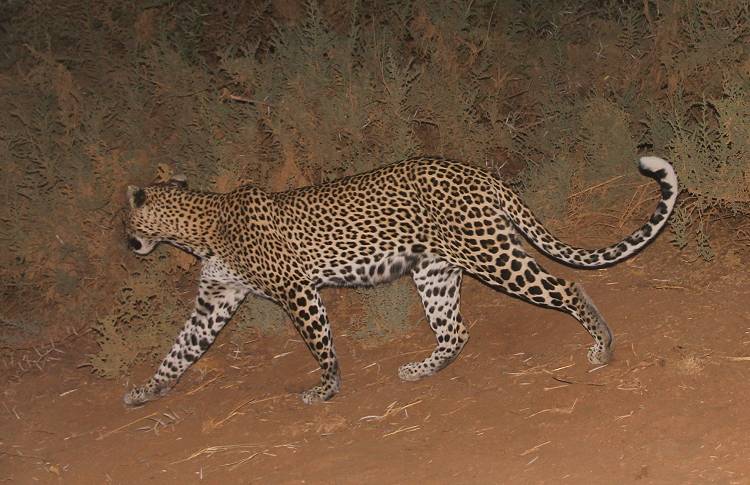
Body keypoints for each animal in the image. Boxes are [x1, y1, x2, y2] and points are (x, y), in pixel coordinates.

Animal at [122, 155, 676, 404]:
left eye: (124, 221)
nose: (125, 242)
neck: (199, 229)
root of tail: (482, 174)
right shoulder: (216, 299)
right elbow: (180, 349)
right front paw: (147, 390)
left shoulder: (297, 291)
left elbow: (320, 345)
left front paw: (326, 390)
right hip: (436, 271)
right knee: (456, 331)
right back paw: (421, 370)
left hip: (490, 256)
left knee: (566, 287)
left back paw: (602, 346)